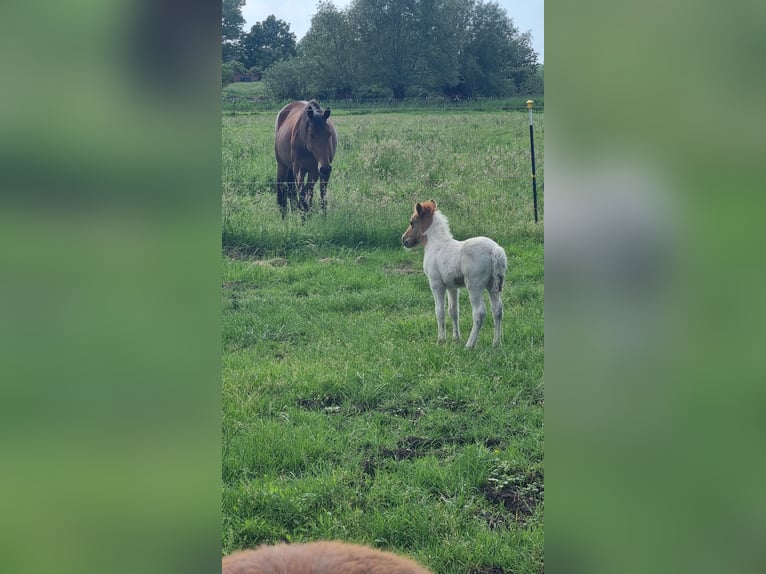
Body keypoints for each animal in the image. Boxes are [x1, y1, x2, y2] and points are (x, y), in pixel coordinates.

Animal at [404, 200, 508, 348]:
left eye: (412, 222)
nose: (404, 240)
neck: (436, 244)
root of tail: (495, 251)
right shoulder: (452, 287)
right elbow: (453, 311)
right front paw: (456, 338)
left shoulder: (436, 284)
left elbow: (440, 311)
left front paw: (441, 340)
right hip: (492, 286)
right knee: (497, 310)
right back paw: (496, 343)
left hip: (474, 286)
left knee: (479, 312)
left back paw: (469, 345)